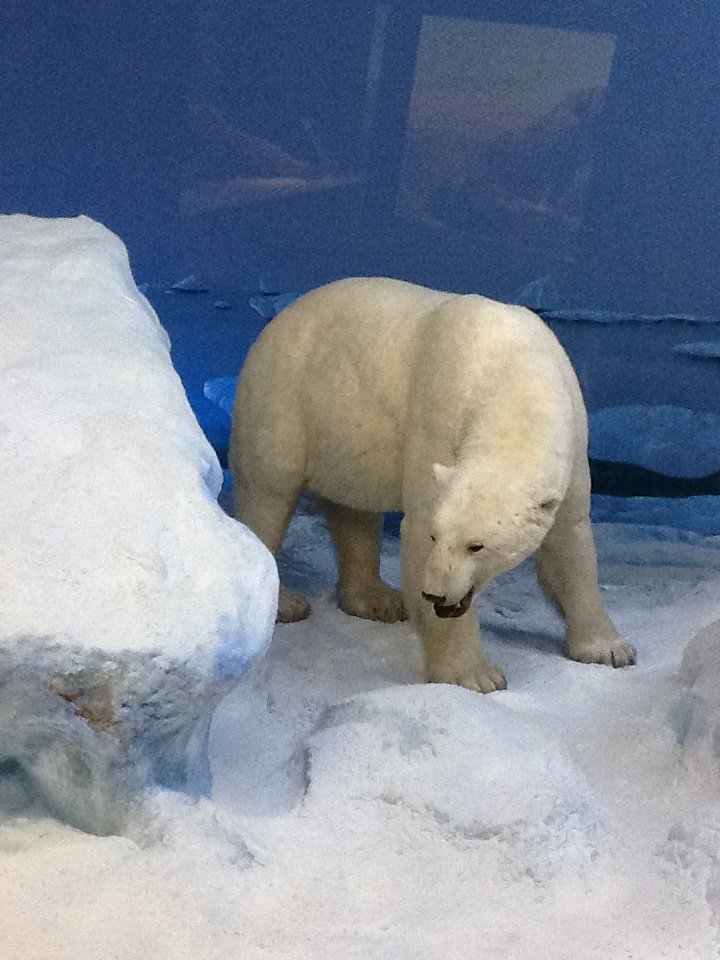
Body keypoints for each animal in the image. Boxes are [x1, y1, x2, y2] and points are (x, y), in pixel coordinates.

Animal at [230, 277, 636, 693]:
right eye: (436, 537)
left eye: (477, 545)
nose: (435, 594)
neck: (518, 381)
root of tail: (277, 322)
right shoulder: (441, 412)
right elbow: (421, 518)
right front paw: (474, 674)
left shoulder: (572, 442)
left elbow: (570, 541)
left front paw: (609, 649)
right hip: (283, 399)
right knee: (268, 494)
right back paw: (286, 603)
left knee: (355, 509)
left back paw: (378, 599)